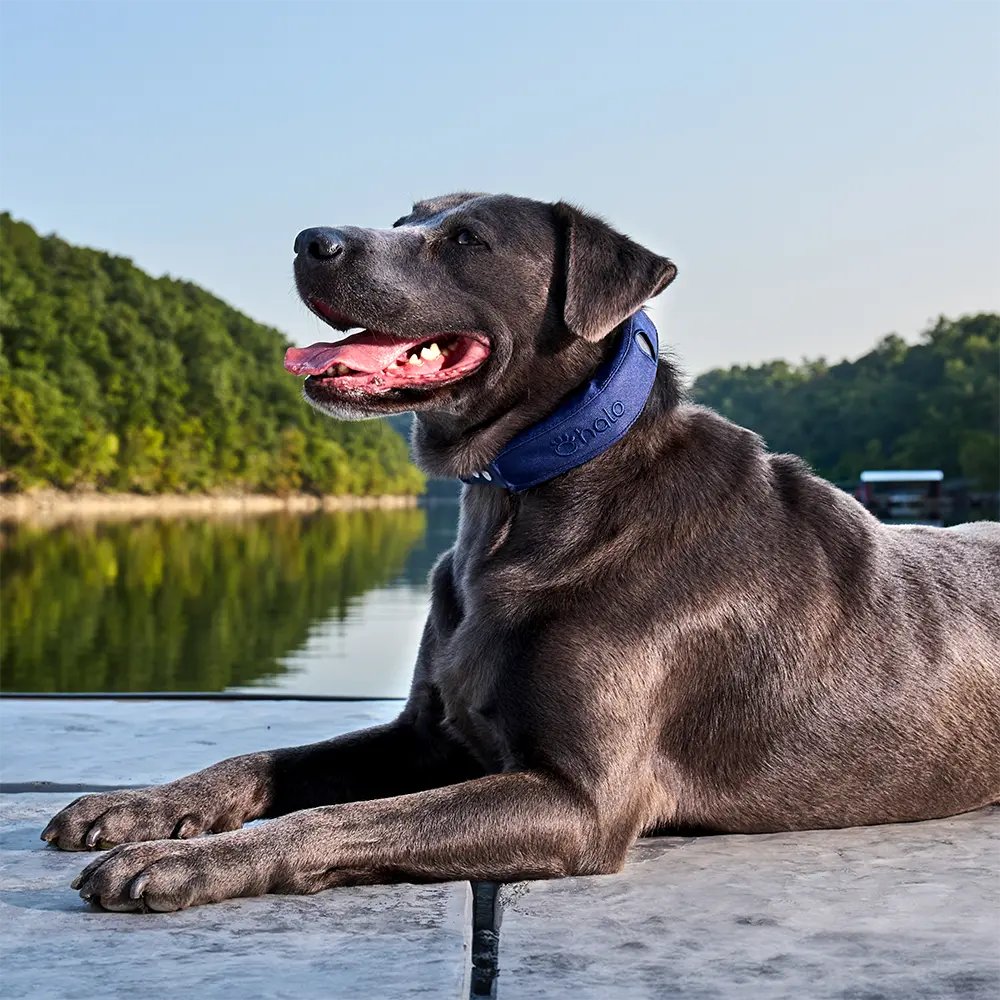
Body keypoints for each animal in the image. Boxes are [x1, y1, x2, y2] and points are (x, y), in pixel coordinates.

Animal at [43, 191, 1000, 912]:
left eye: (467, 240)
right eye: (406, 215)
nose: (312, 240)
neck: (517, 502)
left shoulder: (576, 798)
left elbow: (345, 819)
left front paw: (183, 863)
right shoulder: (429, 734)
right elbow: (269, 762)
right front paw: (143, 809)